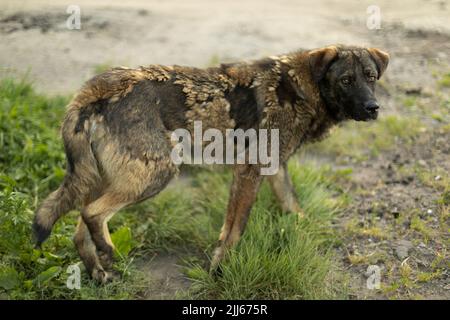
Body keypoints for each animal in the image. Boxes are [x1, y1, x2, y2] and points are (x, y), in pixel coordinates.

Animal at [33, 45, 388, 282]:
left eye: (371, 77)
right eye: (346, 80)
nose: (374, 108)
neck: (303, 87)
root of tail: (97, 88)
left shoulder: (275, 168)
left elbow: (292, 204)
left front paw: (306, 229)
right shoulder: (249, 172)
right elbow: (233, 230)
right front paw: (219, 268)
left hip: (107, 178)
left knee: (80, 229)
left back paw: (98, 273)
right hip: (155, 175)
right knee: (92, 213)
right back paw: (108, 251)